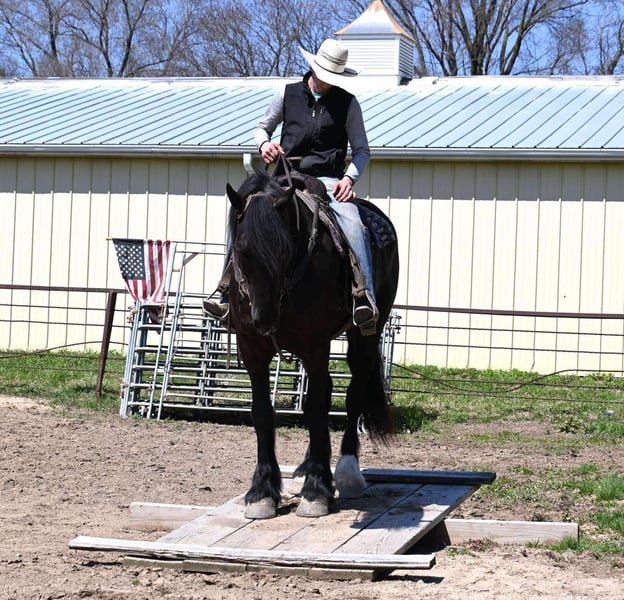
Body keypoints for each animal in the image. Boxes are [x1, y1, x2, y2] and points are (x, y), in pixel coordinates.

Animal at [224, 169, 399, 518]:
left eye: (283, 249)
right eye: (241, 249)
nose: (265, 320)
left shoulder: (314, 344)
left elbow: (316, 408)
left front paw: (317, 490)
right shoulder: (251, 348)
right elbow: (262, 412)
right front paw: (262, 491)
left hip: (365, 335)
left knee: (353, 394)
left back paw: (347, 474)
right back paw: (307, 467)